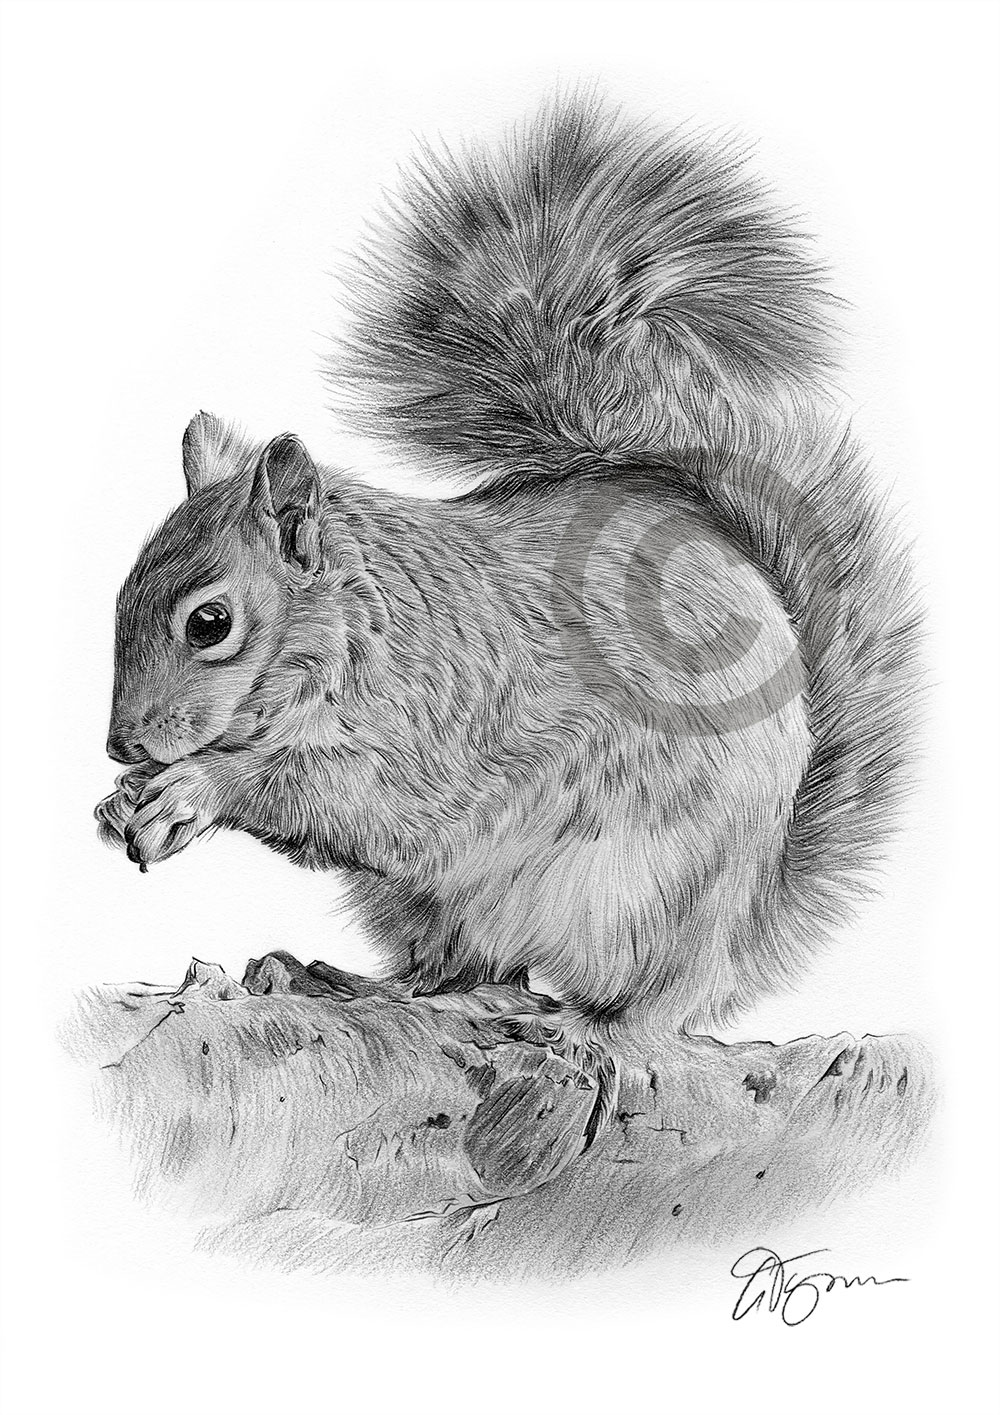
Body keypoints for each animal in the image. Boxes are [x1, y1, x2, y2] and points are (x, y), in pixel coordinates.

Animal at [96, 94, 920, 1151]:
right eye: (120, 593)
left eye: (209, 622)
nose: (122, 746)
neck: (355, 629)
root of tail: (743, 927)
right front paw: (125, 803)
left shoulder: (432, 729)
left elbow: (337, 795)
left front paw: (197, 788)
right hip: (437, 906)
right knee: (461, 966)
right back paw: (354, 982)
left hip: (643, 894)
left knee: (640, 1003)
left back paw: (581, 1022)